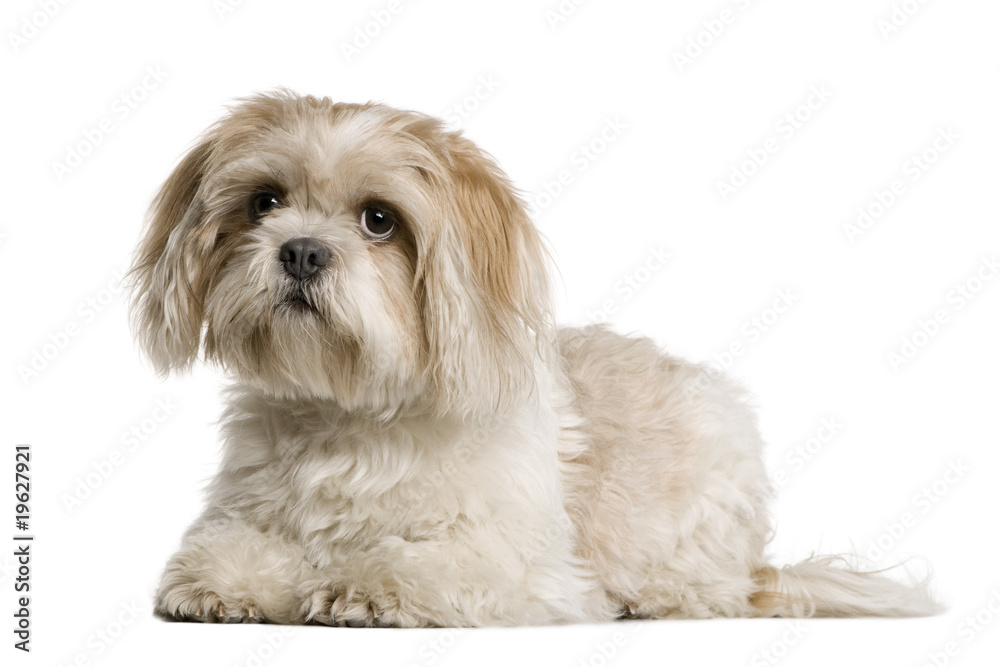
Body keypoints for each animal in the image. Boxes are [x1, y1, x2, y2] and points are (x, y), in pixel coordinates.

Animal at [127, 90, 936, 628]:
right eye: (265, 202)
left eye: (379, 220)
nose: (300, 250)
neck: (351, 415)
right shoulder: (244, 508)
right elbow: (227, 546)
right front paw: (230, 580)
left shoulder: (528, 565)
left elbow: (425, 561)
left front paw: (364, 586)